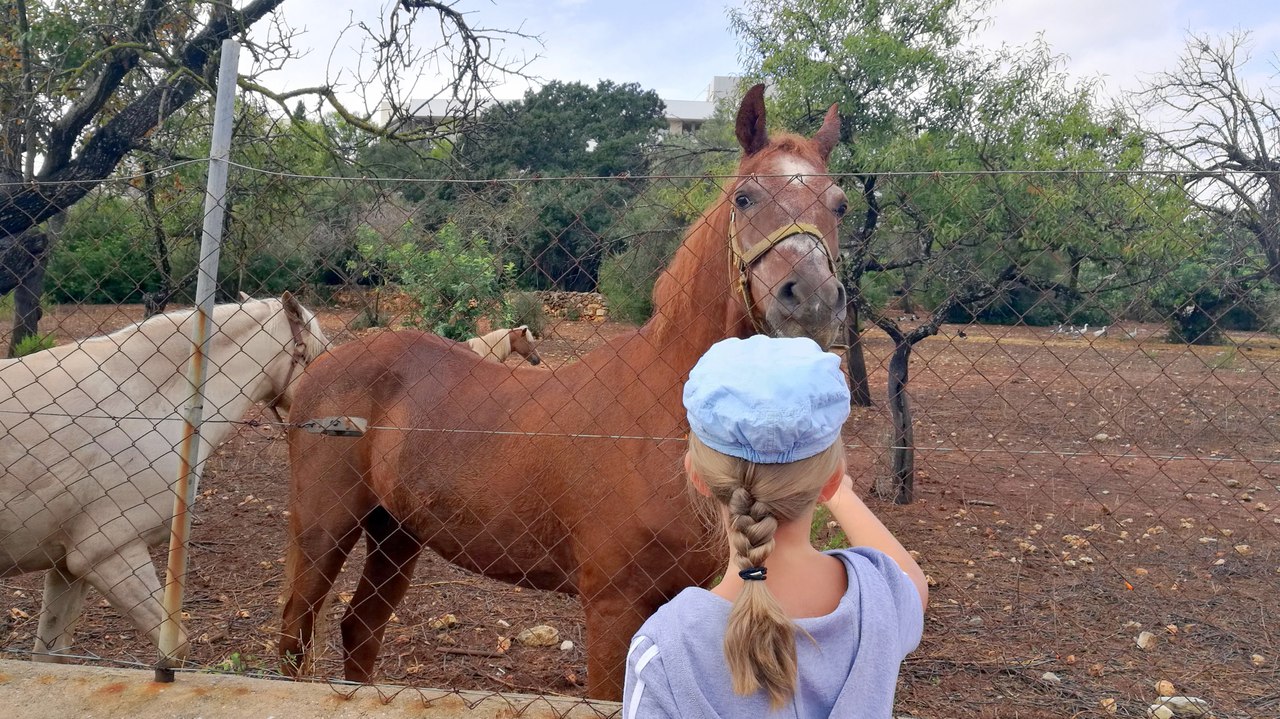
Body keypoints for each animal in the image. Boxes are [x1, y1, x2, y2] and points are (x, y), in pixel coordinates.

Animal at [0, 292, 330, 660]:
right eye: (321, 356)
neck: (143, 405)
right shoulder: (110, 556)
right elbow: (175, 648)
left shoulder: (67, 567)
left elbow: (51, 654)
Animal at [280, 83, 849, 695]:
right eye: (745, 197)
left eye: (840, 204)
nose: (811, 299)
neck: (659, 416)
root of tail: (322, 366)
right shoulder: (612, 607)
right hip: (324, 530)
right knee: (295, 635)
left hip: (396, 533)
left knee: (360, 629)